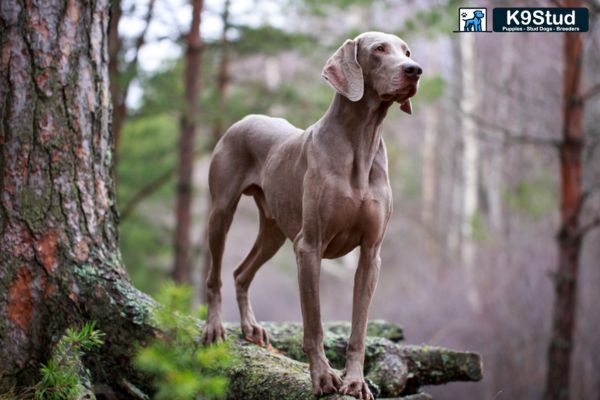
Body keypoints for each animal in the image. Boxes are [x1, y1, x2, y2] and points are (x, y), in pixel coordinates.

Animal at [204, 32, 420, 400]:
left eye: (406, 51)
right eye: (379, 49)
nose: (415, 70)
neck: (361, 142)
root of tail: (245, 119)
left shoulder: (371, 254)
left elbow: (359, 329)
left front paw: (355, 381)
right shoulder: (309, 247)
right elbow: (314, 324)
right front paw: (323, 377)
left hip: (274, 231)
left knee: (240, 272)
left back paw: (251, 327)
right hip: (222, 211)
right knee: (215, 275)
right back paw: (215, 327)